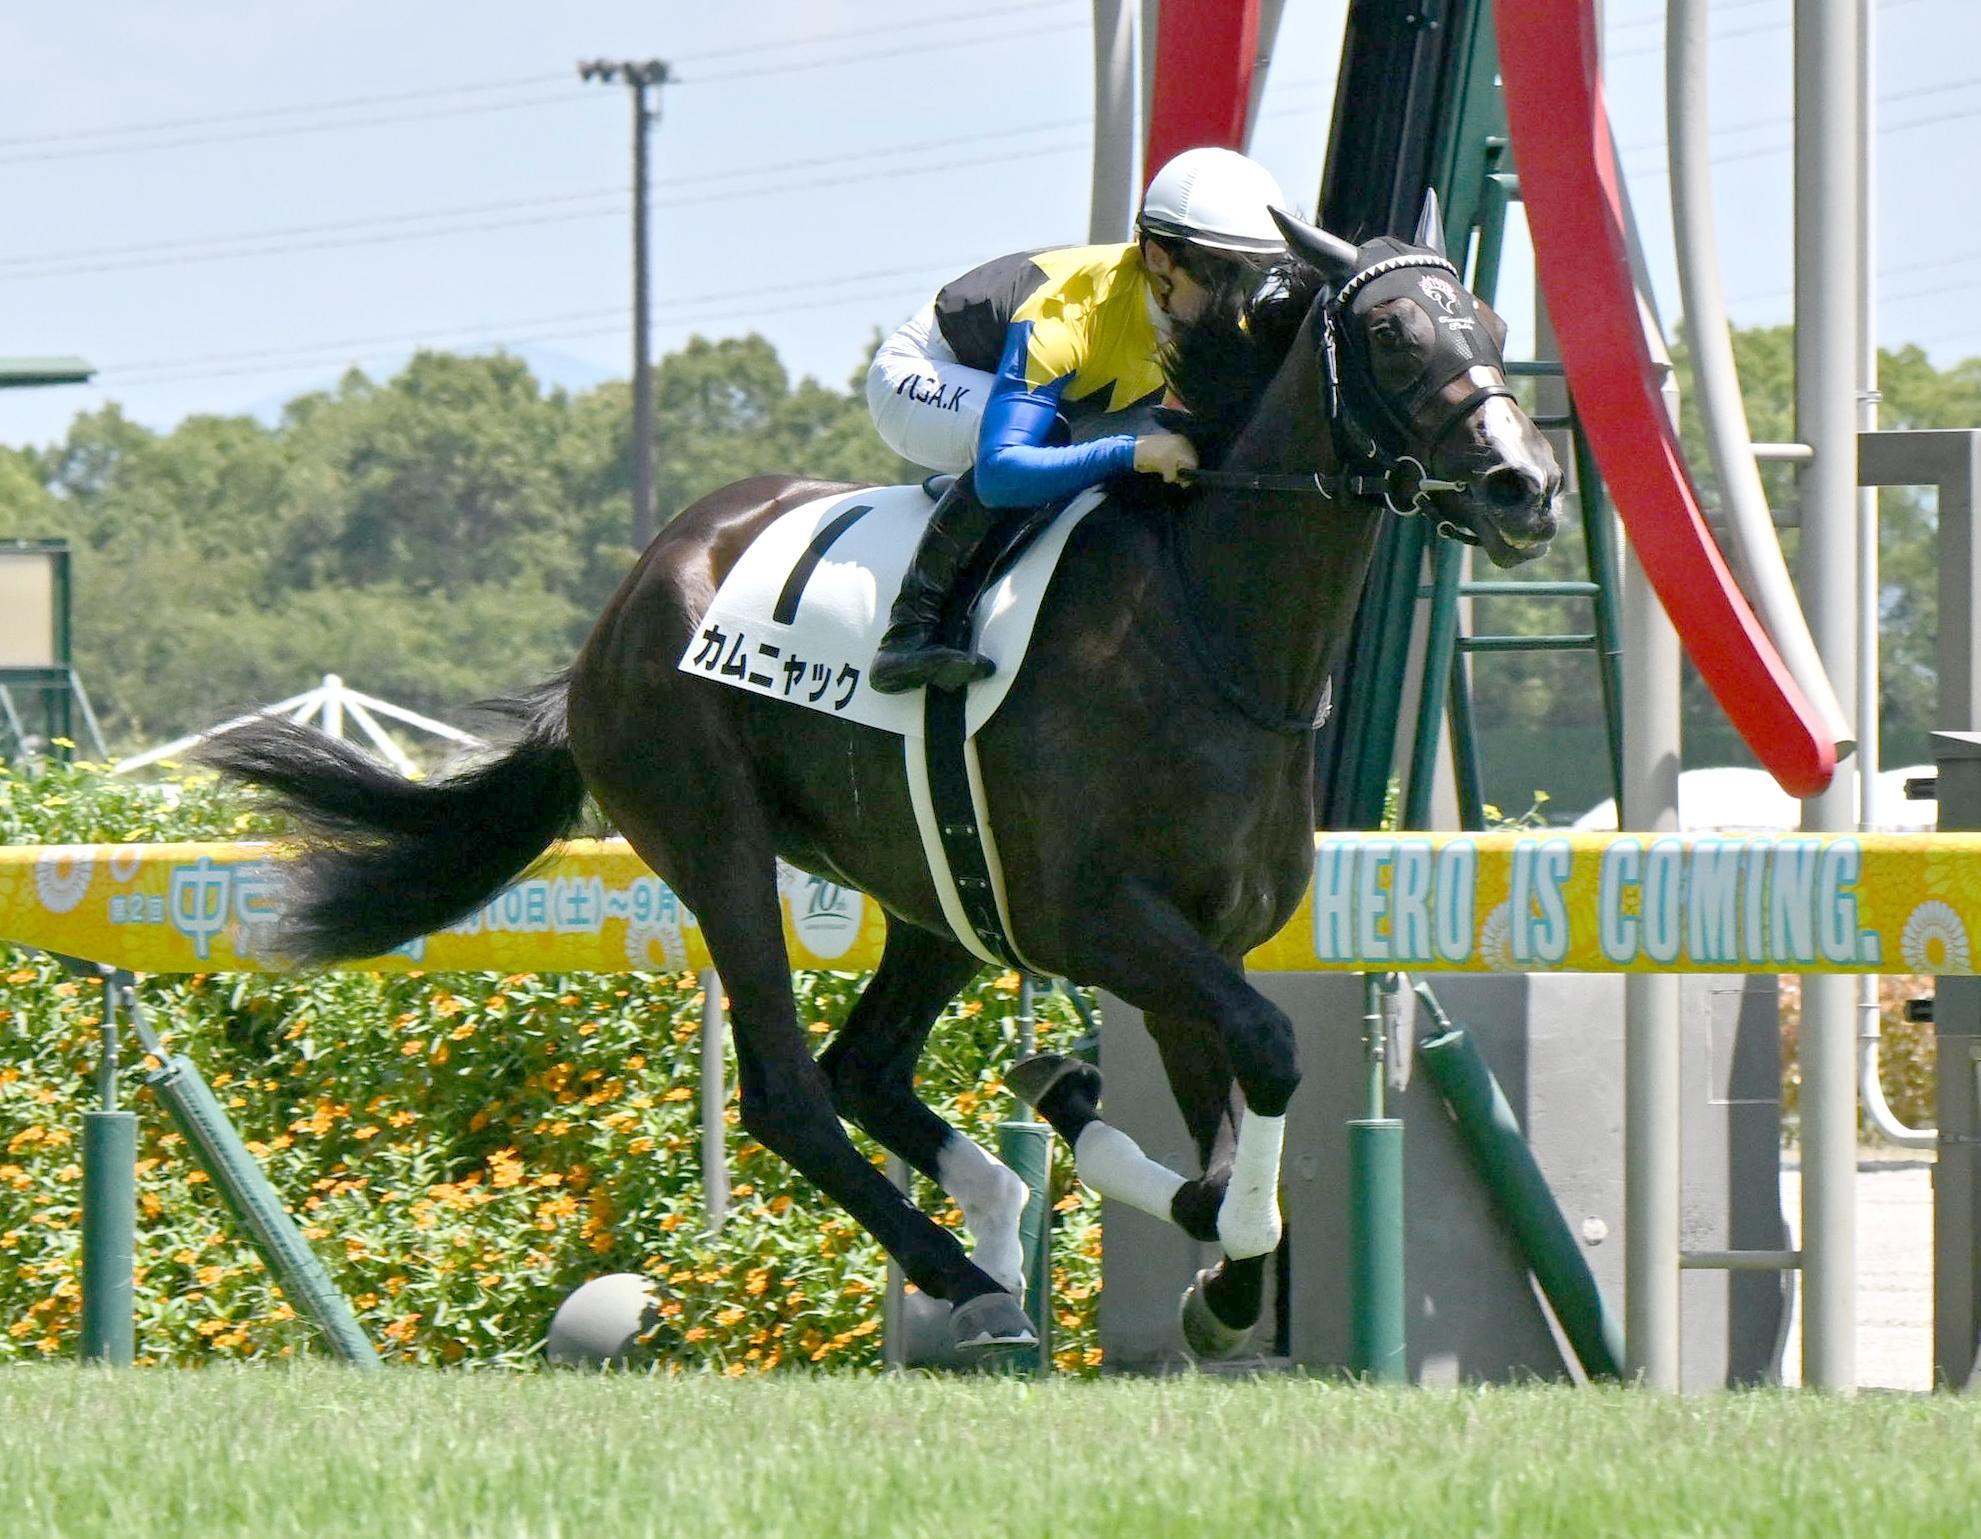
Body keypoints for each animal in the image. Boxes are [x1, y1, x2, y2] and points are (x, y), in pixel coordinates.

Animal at [201, 204, 1561, 1354]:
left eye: (1496, 330)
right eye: (1388, 333)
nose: (1526, 487)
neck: (1209, 634)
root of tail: (616, 618)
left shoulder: (1191, 942)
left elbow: (1227, 1140)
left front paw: (1192, 1241)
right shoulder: (1093, 920)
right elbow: (1271, 1053)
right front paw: (1204, 1254)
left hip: (935, 892)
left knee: (864, 1067)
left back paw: (1004, 1209)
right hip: (716, 841)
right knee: (791, 1094)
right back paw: (964, 1273)